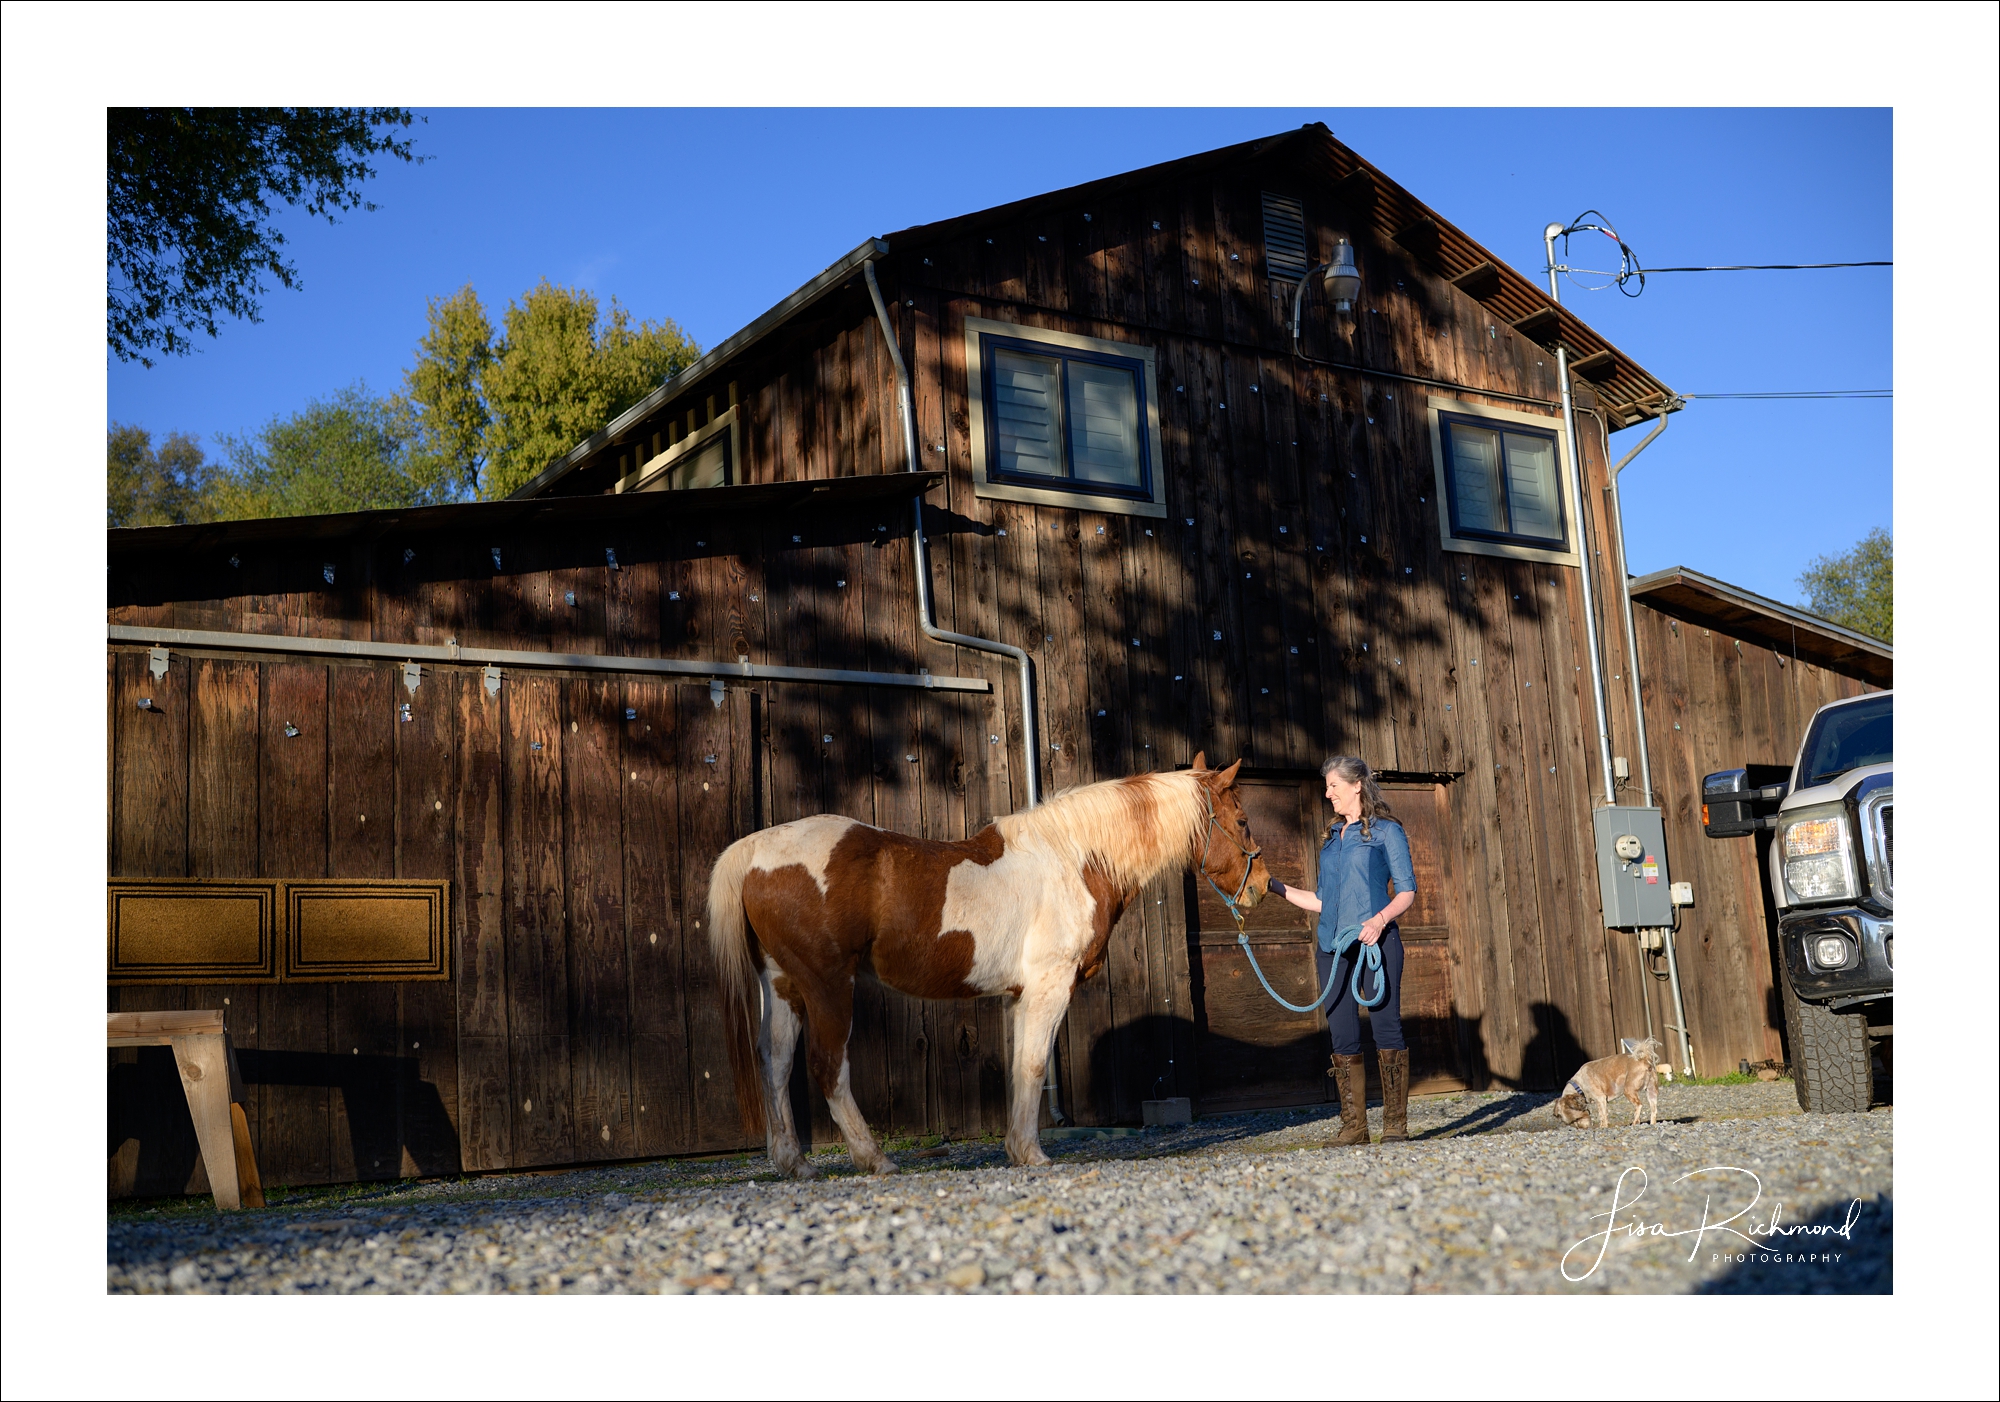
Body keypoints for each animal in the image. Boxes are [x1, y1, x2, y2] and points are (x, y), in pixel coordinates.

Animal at [704, 753, 1272, 1177]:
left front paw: (1018, 1150)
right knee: (826, 1066)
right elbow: (1035, 1064)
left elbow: (1022, 1067)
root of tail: (753, 850)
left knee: (774, 1062)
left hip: (784, 985)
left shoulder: (1022, 996)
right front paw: (1034, 1155)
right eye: (1243, 821)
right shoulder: (1050, 987)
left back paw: (794, 1163)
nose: (1264, 886)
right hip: (826, 985)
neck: (1074, 859)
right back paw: (875, 1159)